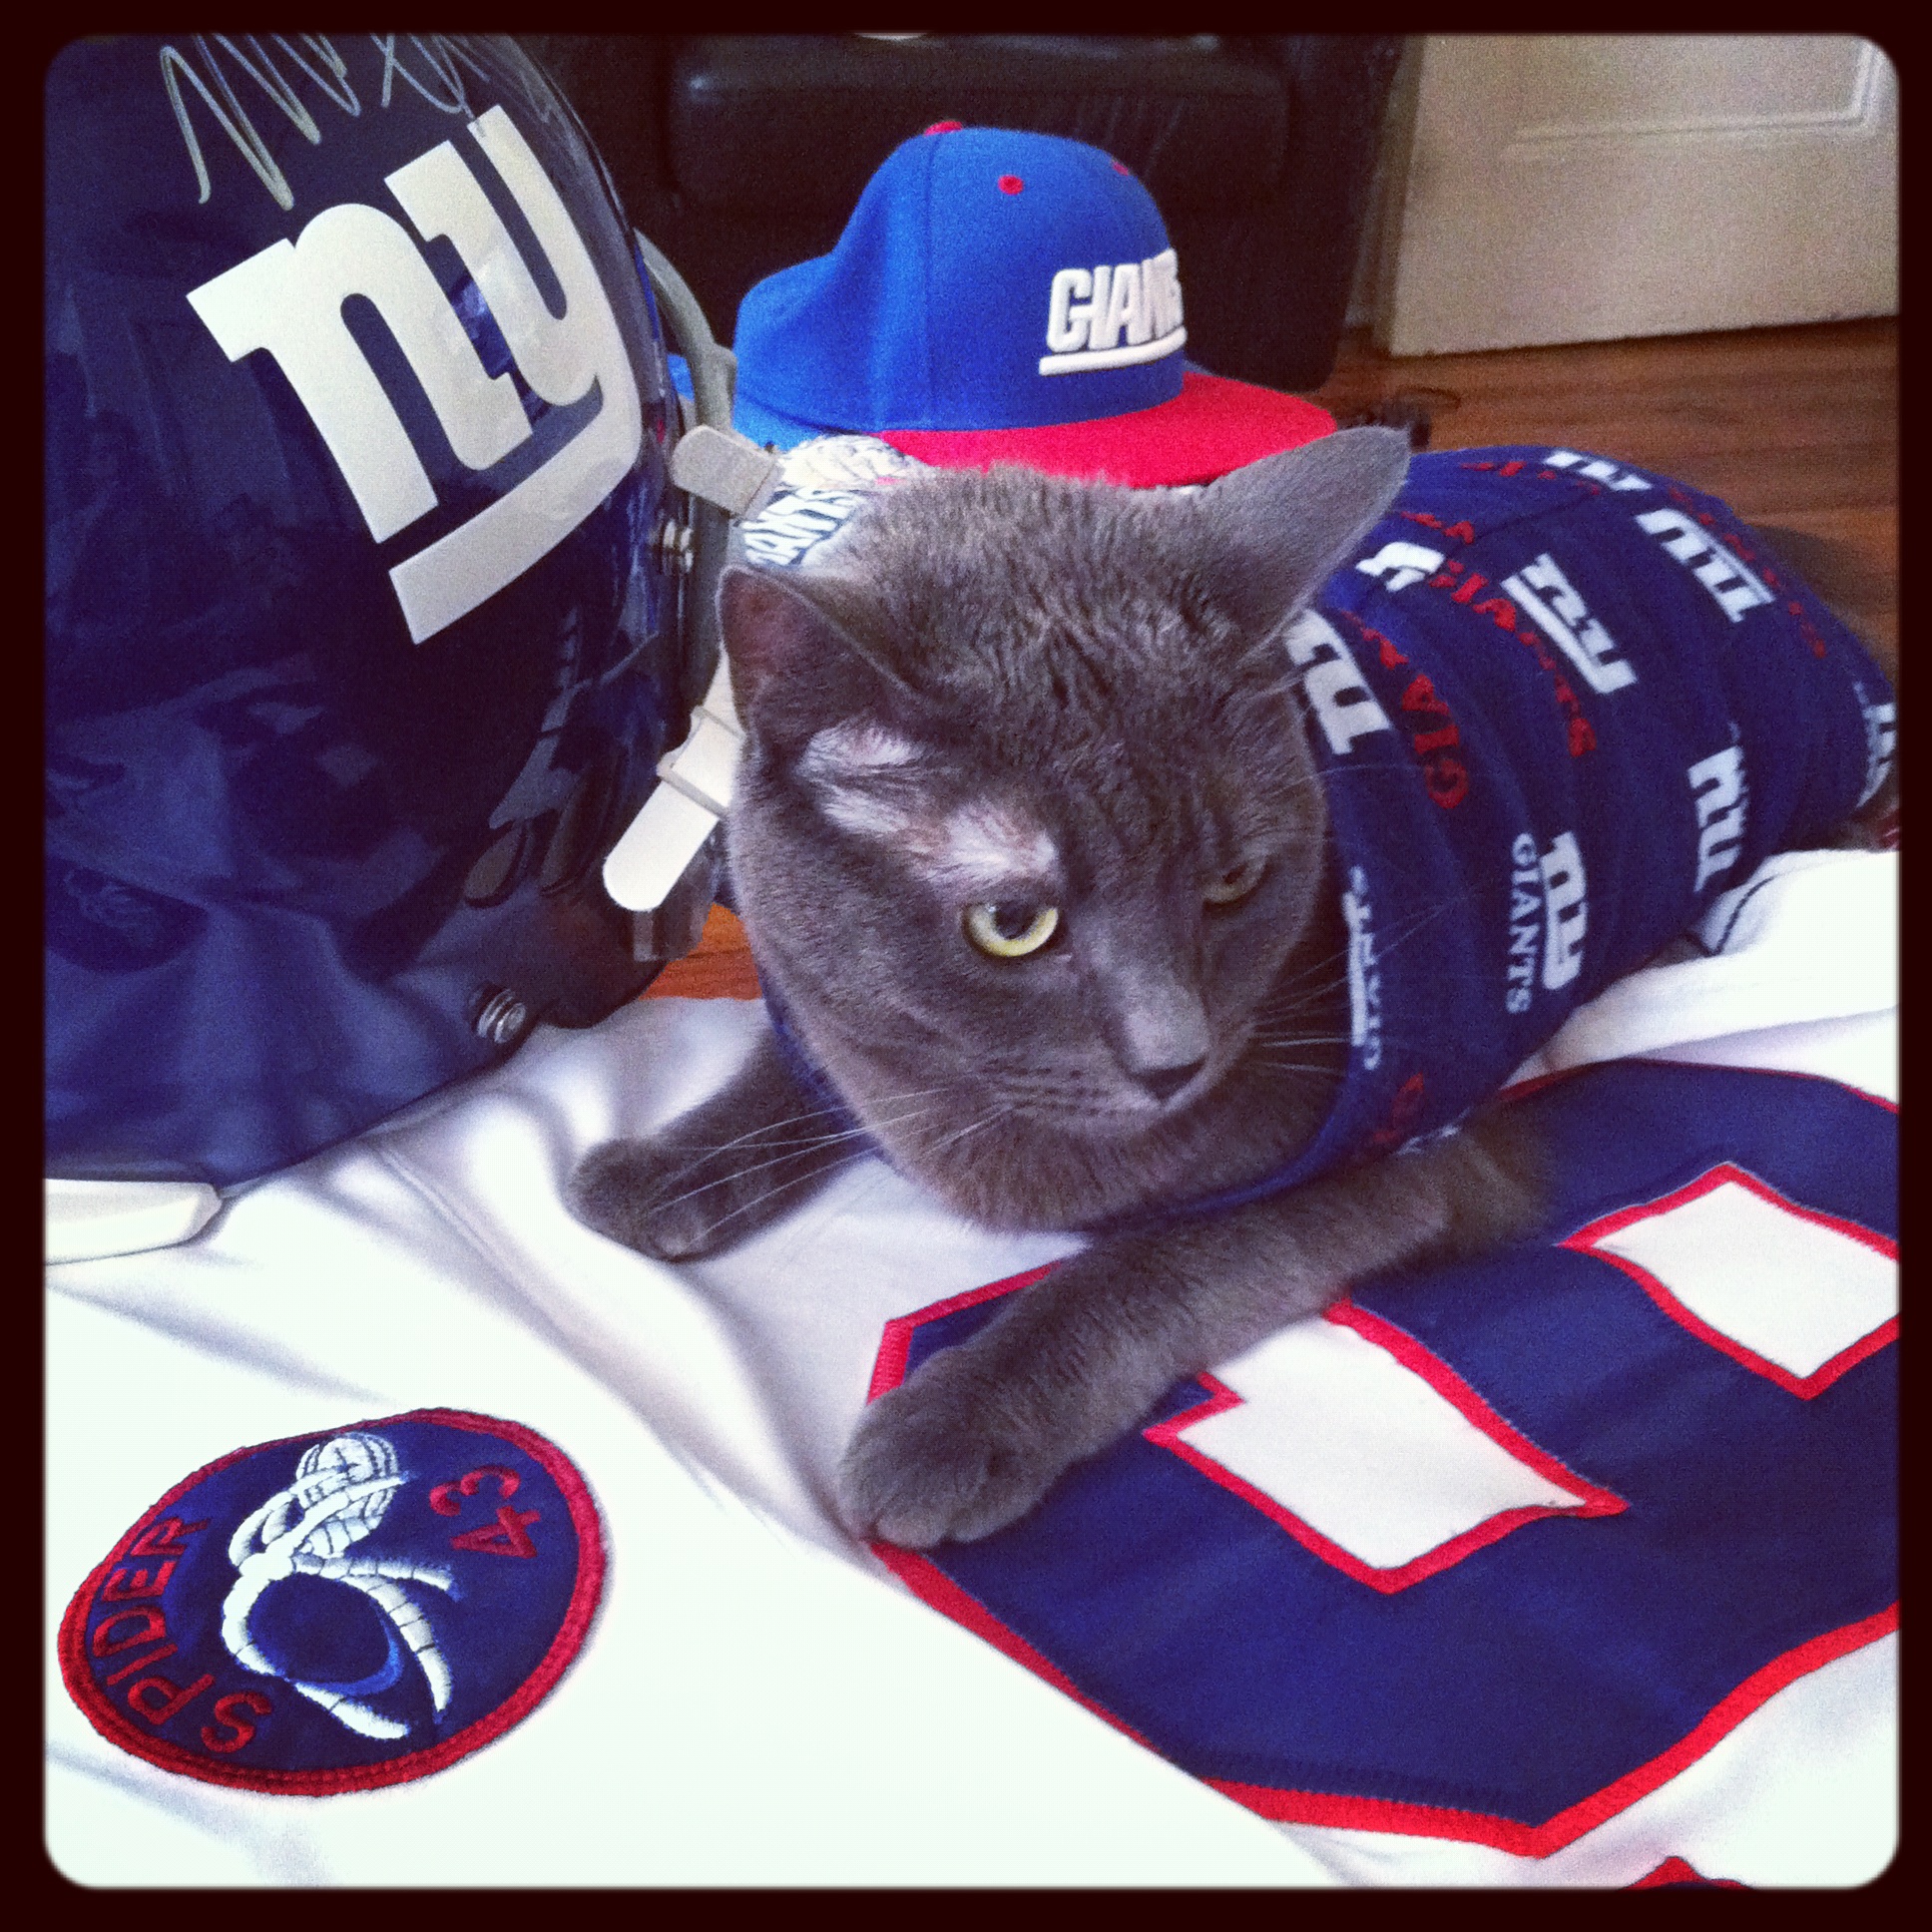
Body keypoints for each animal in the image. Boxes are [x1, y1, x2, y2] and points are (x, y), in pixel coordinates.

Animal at [569, 426, 1894, 1548]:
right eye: (1013, 923)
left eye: (1236, 881)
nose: (1175, 1057)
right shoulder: (841, 1019)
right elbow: (801, 1059)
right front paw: (661, 1165)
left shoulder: (1410, 1158)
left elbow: (1146, 1269)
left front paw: (951, 1426)